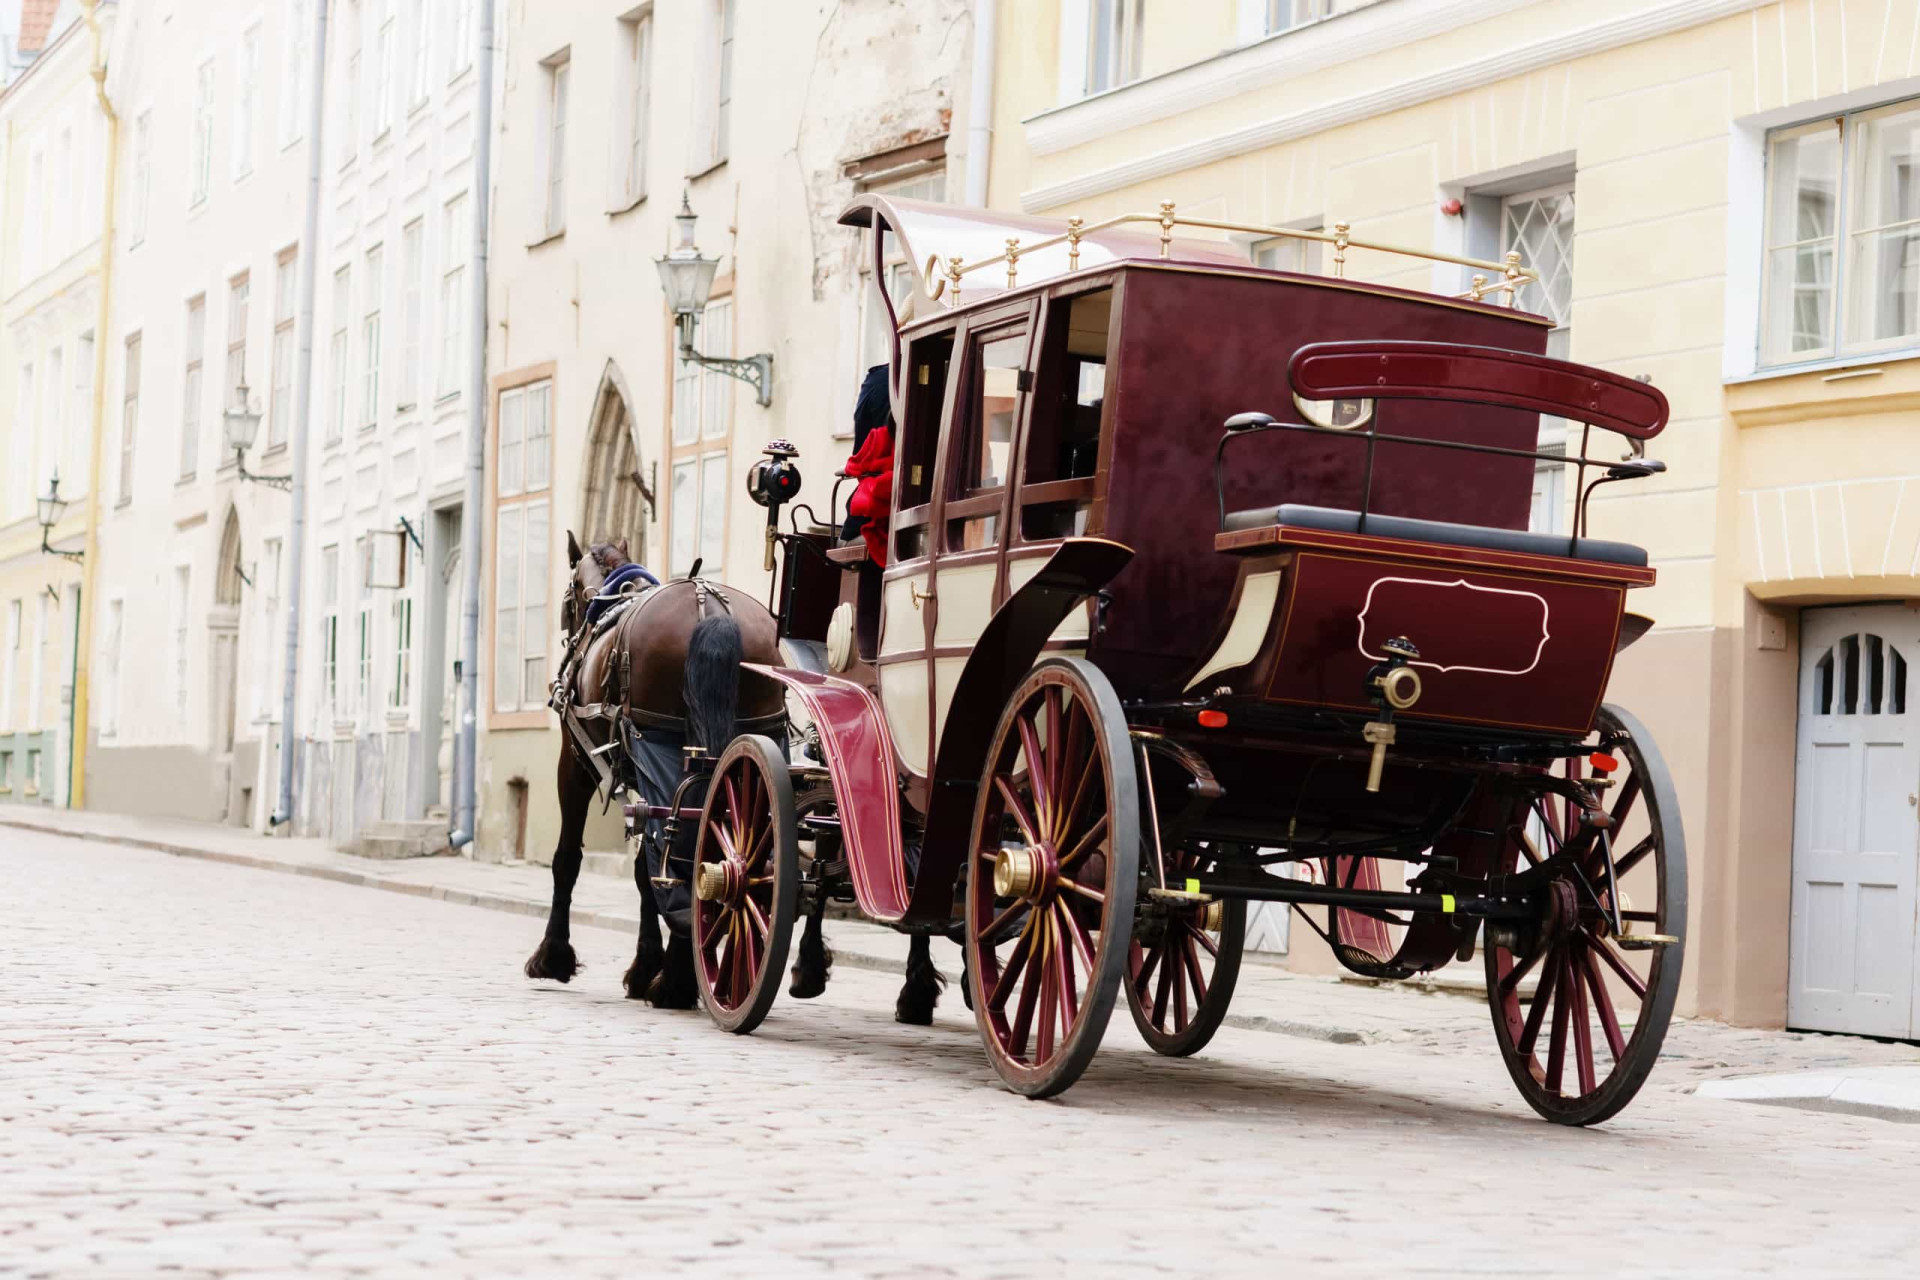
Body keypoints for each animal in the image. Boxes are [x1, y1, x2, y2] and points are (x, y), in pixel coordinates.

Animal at [522, 537, 783, 1005]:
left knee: (690, 848)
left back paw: (676, 980)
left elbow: (570, 859)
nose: (569, 632)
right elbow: (646, 872)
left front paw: (555, 957)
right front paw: (651, 965)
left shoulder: (575, 763)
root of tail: (710, 609)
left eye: (568, 595)